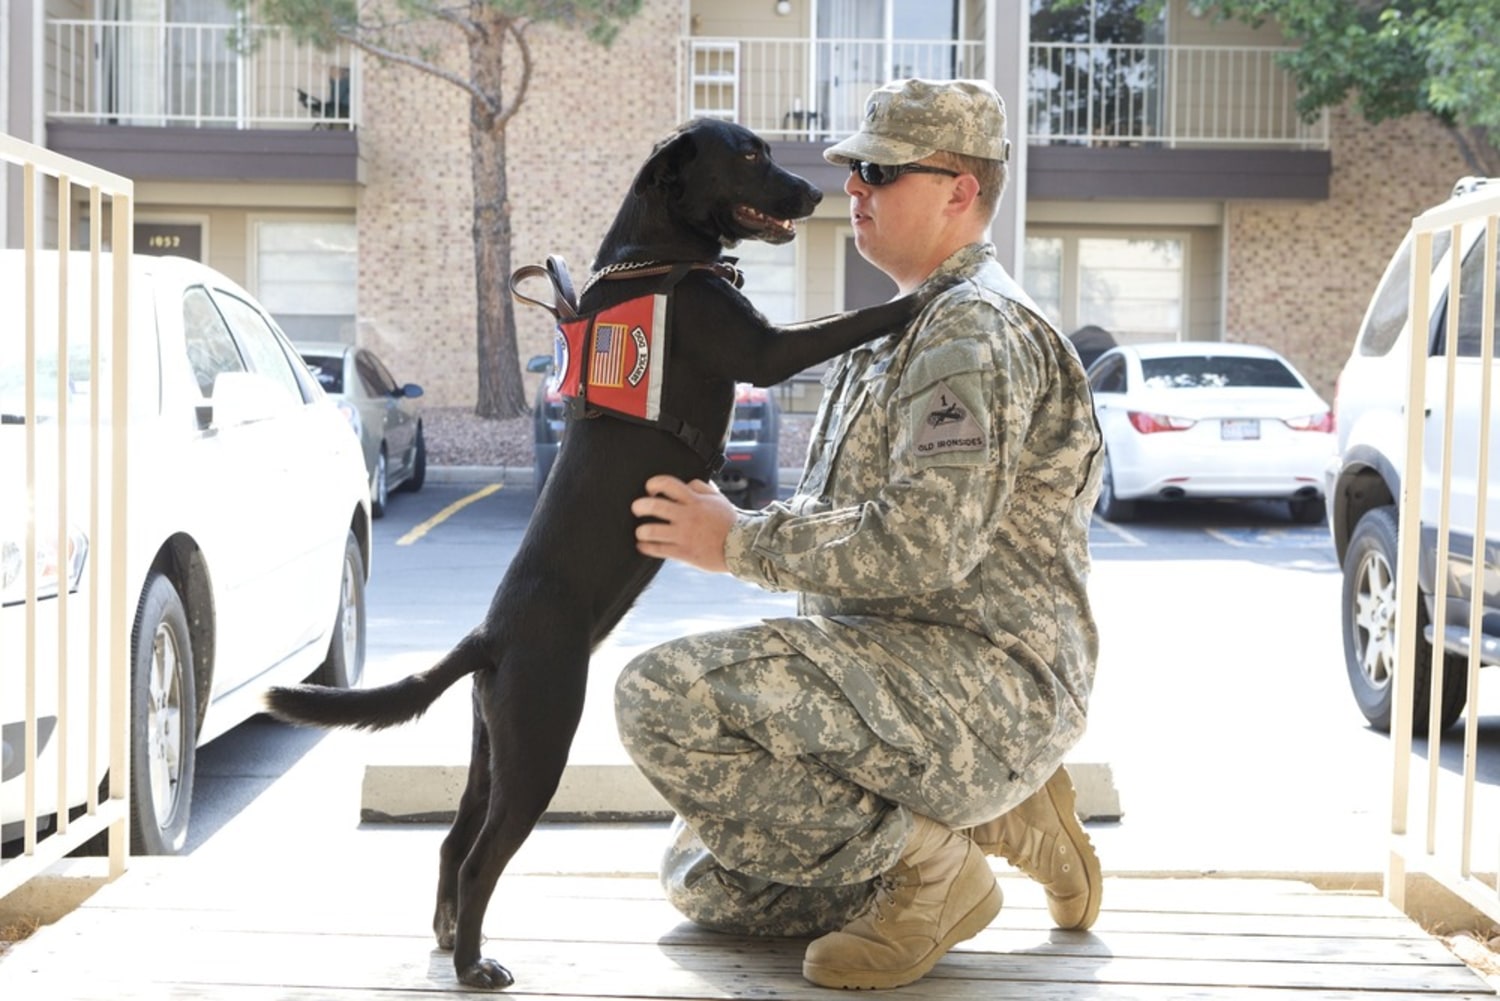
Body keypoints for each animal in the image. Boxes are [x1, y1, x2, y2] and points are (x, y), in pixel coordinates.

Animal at [264, 115, 930, 984]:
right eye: (751, 153)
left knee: (453, 839)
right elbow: (846, 322)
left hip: (493, 746)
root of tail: (486, 637)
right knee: (479, 858)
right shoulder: (765, 351)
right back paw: (476, 966)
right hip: (541, 739)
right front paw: (926, 289)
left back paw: (447, 940)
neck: (659, 258)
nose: (815, 193)